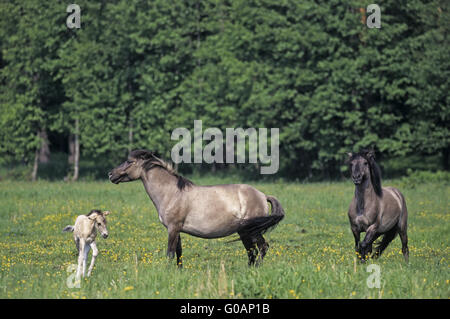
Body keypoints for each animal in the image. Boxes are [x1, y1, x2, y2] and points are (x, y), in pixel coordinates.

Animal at [108, 149, 284, 268]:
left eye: (129, 162)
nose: (110, 174)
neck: (171, 193)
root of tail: (263, 195)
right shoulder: (176, 229)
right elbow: (178, 252)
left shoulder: (173, 228)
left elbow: (170, 253)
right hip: (244, 231)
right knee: (251, 251)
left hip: (252, 231)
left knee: (262, 248)